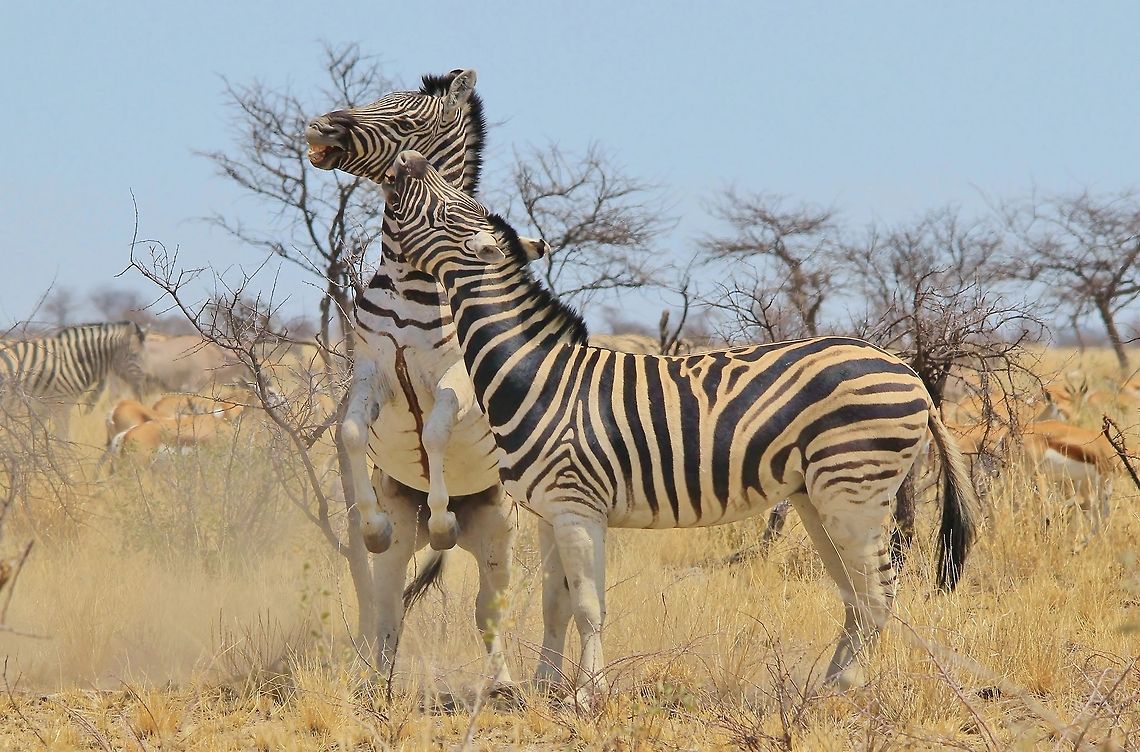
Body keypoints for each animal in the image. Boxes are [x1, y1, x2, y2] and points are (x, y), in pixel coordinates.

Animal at [0, 321, 147, 438]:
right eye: (134, 355)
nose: (143, 386)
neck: (72, 361)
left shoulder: (43, 407)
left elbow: (34, 434)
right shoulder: (62, 404)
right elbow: (62, 438)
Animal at [377, 150, 982, 699]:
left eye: (446, 208)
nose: (406, 158)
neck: (535, 373)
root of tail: (907, 370)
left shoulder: (578, 506)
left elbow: (589, 606)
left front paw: (586, 694)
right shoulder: (550, 514)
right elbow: (555, 605)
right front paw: (544, 688)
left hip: (853, 491)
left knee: (879, 592)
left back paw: (846, 688)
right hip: (819, 498)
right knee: (857, 594)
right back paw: (825, 686)